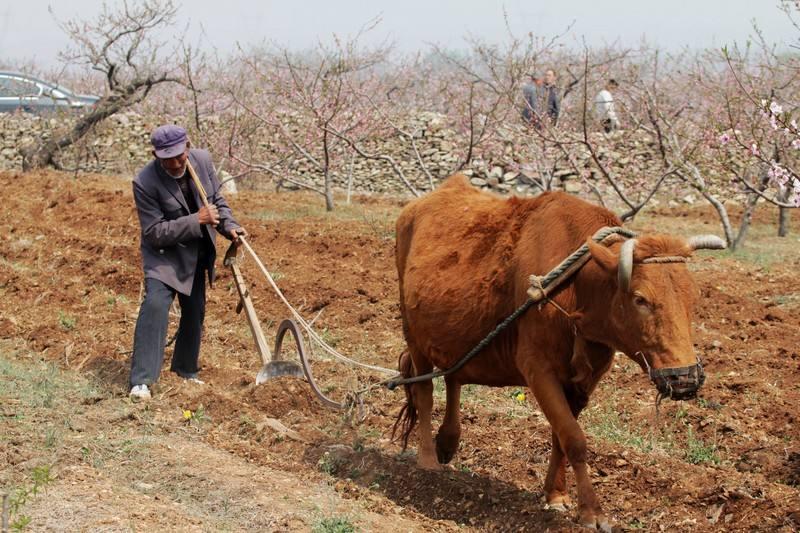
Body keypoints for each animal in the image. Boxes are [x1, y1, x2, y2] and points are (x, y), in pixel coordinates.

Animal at [394, 175, 724, 528]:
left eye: (694, 295)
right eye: (640, 299)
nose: (685, 377)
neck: (577, 288)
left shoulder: (585, 380)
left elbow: (560, 437)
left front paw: (556, 495)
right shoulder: (538, 369)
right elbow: (574, 438)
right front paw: (592, 511)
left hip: (456, 337)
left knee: (453, 378)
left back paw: (448, 442)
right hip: (414, 336)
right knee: (425, 392)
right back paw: (428, 459)